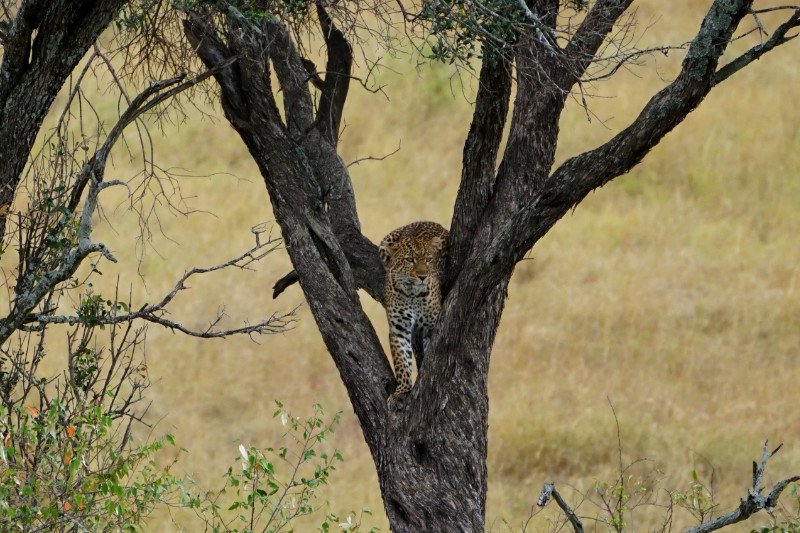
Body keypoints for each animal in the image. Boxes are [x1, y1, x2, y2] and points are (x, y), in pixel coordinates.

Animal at [379, 221, 449, 411]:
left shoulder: (431, 328)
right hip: (384, 243)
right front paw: (400, 393)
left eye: (428, 260)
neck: (412, 294)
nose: (423, 276)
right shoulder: (398, 329)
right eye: (409, 260)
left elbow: (429, 356)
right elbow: (402, 363)